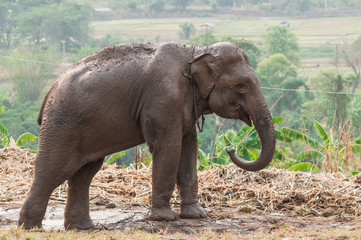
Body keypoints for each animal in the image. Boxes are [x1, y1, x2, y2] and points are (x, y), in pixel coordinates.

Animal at [18, 41, 274, 231]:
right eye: (242, 86)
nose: (231, 148)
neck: (195, 52)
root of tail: (50, 91)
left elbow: (189, 147)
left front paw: (196, 215)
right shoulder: (162, 98)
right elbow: (168, 147)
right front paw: (165, 218)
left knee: (83, 173)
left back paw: (83, 228)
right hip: (62, 125)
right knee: (53, 170)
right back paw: (30, 228)